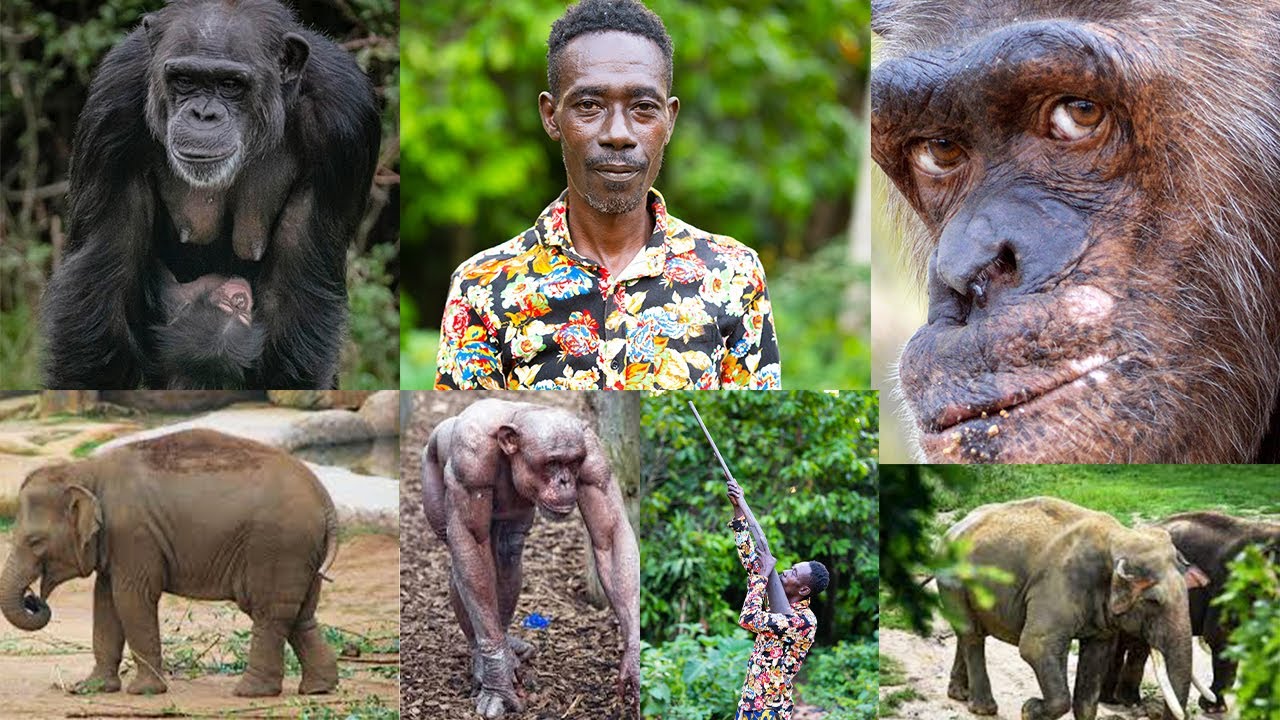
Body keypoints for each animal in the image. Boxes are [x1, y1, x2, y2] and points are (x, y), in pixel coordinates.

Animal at [0, 429, 339, 697]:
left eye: (35, 541)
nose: (33, 598)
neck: (86, 470)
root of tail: (325, 500)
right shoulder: (118, 543)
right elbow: (105, 601)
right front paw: (90, 688)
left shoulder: (134, 534)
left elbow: (132, 598)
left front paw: (144, 691)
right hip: (301, 553)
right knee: (300, 614)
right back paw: (318, 689)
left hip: (277, 547)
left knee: (269, 612)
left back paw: (249, 692)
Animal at [938, 497, 1208, 720]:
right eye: (1153, 602)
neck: (1120, 536)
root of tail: (951, 530)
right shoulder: (1057, 585)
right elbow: (1035, 646)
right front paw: (1029, 709)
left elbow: (1096, 657)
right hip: (953, 581)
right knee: (972, 634)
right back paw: (984, 708)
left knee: (969, 632)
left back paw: (960, 695)